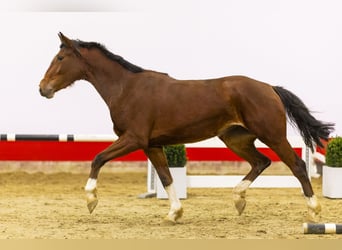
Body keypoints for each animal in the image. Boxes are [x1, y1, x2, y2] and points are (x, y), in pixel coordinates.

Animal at [38, 32, 334, 223]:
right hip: (236, 139)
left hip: (272, 135)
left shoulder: (134, 139)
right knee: (261, 162)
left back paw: (314, 210)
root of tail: (270, 88)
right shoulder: (152, 144)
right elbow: (166, 177)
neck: (126, 88)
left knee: (297, 165)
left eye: (61, 58)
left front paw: (91, 201)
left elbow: (98, 158)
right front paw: (174, 213)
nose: (43, 89)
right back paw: (238, 199)